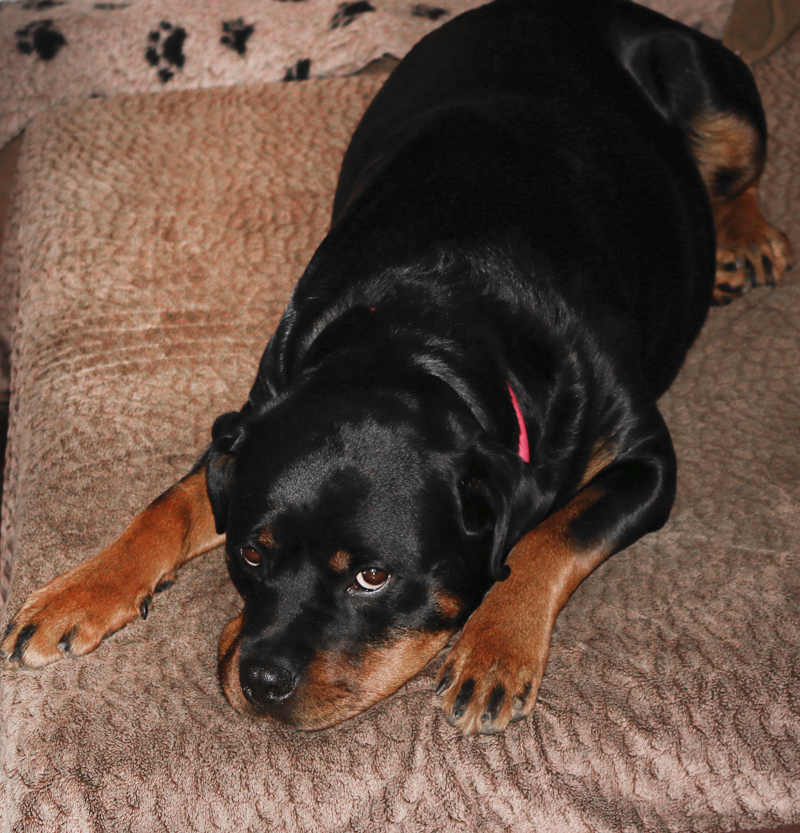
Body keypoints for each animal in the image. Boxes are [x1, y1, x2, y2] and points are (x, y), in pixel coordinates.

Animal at [1, 0, 792, 736]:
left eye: (373, 577)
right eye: (252, 554)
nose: (261, 680)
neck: (421, 336)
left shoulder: (646, 461)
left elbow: (550, 536)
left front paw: (495, 646)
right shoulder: (256, 416)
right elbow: (174, 501)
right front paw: (81, 590)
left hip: (710, 86)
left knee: (736, 172)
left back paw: (744, 238)